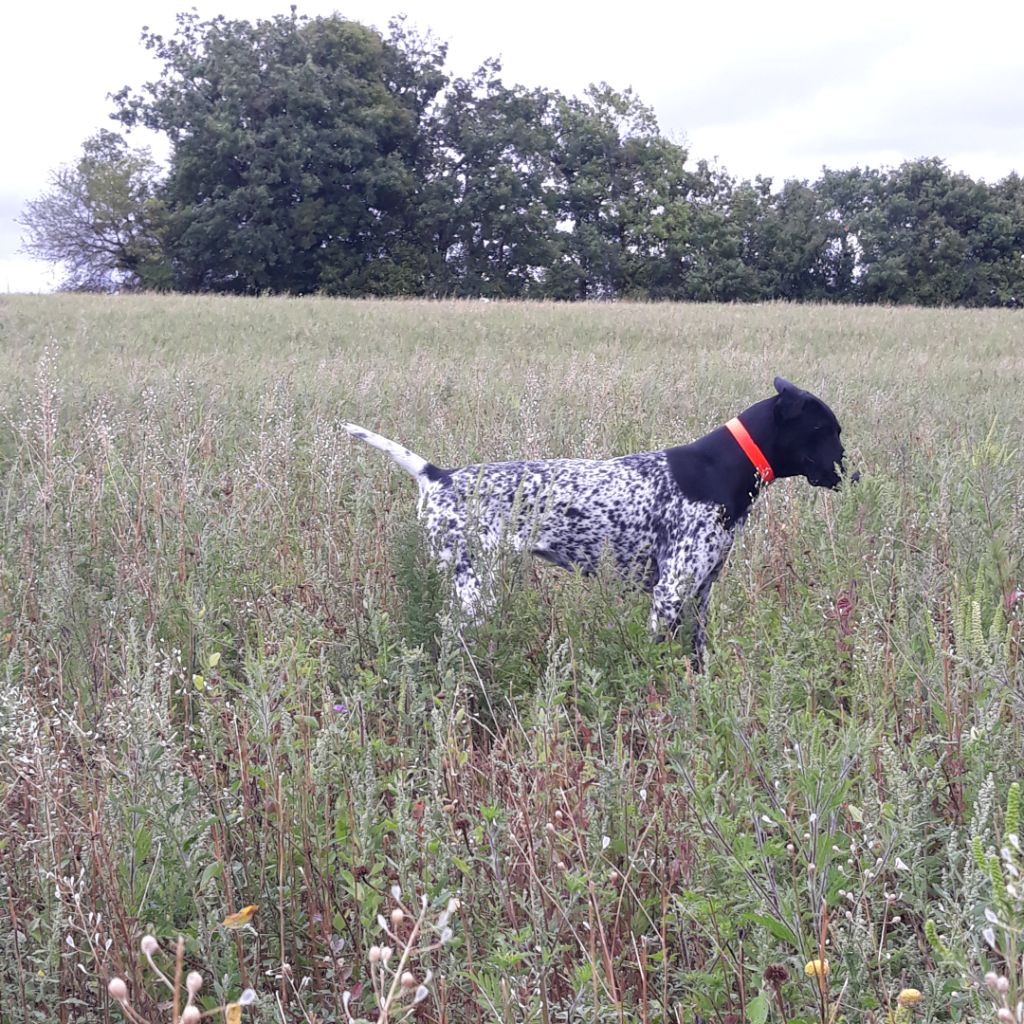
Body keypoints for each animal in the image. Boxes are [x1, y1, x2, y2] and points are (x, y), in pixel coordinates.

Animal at [344, 380, 847, 667]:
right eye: (825, 430)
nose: (851, 472)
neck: (725, 467)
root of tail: (438, 476)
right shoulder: (670, 592)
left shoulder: (700, 593)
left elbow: (697, 656)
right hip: (473, 587)